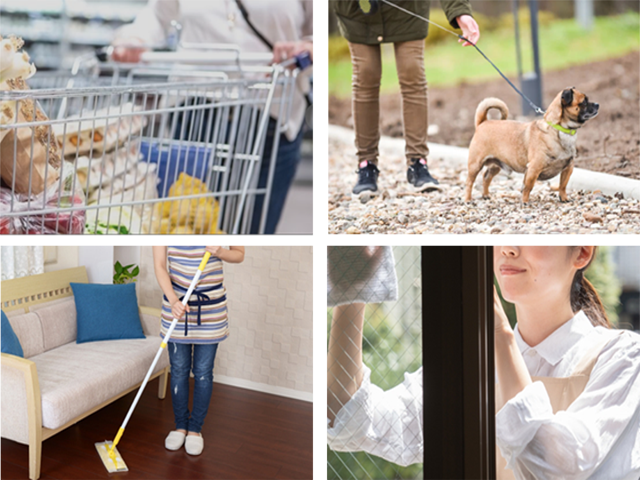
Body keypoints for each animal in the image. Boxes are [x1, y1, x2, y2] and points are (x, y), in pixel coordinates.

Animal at [462, 88, 596, 202]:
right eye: (584, 102)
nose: (597, 104)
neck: (560, 130)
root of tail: (482, 122)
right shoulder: (533, 169)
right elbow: (528, 187)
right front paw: (525, 201)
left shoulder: (568, 168)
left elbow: (562, 186)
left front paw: (564, 199)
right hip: (475, 165)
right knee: (469, 182)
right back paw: (468, 199)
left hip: (496, 165)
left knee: (486, 177)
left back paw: (486, 195)